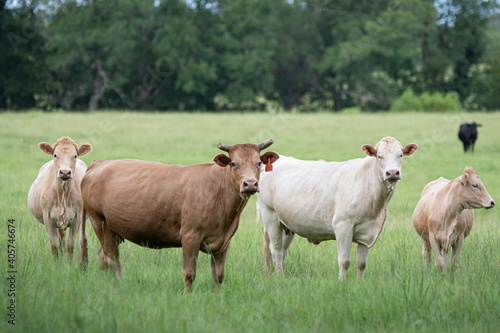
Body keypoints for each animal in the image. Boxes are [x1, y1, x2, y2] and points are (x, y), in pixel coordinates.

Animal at [80, 138, 280, 290]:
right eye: (233, 163)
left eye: (258, 163)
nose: (250, 184)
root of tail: (99, 163)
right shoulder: (190, 236)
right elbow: (189, 273)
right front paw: (187, 297)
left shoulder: (224, 241)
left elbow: (219, 275)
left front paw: (218, 296)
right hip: (99, 221)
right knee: (111, 258)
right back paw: (116, 285)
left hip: (113, 229)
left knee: (103, 255)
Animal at [258, 136, 418, 278]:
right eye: (379, 156)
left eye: (400, 155)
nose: (392, 173)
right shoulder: (343, 226)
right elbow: (344, 261)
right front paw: (342, 283)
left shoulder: (368, 233)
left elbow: (361, 264)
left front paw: (360, 283)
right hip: (270, 215)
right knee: (276, 250)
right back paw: (280, 276)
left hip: (286, 225)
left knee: (282, 250)